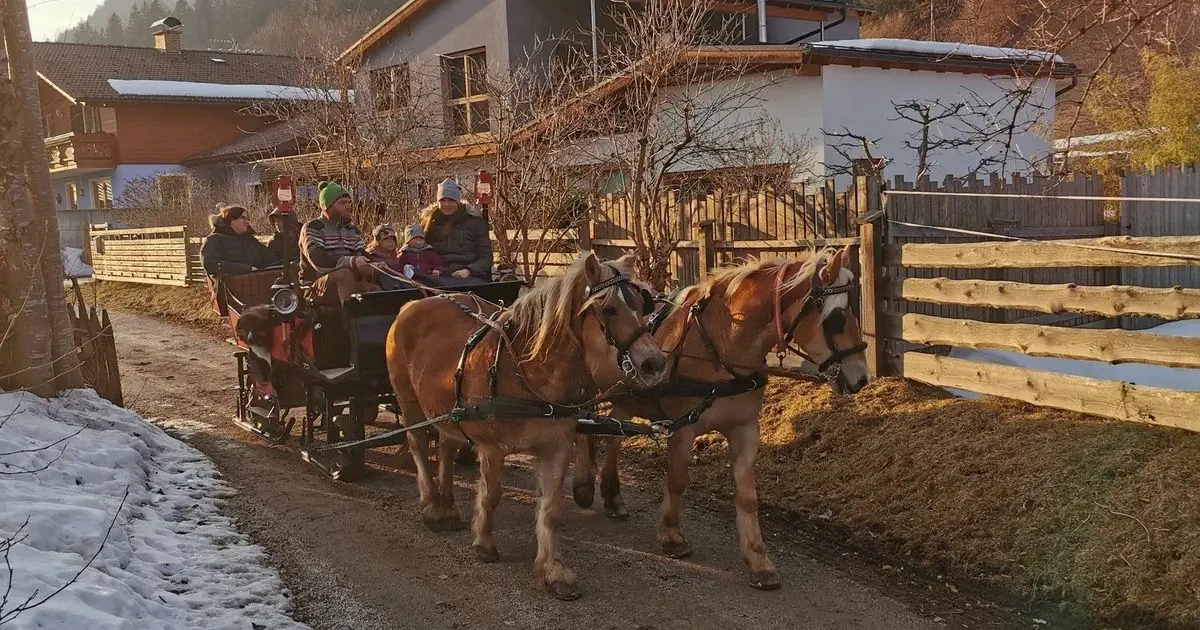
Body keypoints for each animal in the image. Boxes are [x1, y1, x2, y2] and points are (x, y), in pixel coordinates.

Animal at [385, 252, 666, 600]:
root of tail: (413, 304)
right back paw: (431, 505)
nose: (654, 363)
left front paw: (553, 571)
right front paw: (484, 544)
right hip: (409, 401)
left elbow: (551, 509)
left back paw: (447, 506)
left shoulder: (556, 447)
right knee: (419, 445)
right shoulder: (492, 448)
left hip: (449, 411)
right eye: (609, 309)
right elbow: (491, 494)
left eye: (642, 306)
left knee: (448, 447)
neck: (530, 374)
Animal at [573, 247, 870, 590]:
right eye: (837, 319)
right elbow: (677, 479)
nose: (862, 378)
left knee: (613, 433)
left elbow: (748, 495)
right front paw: (672, 535)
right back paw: (583, 485)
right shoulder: (683, 427)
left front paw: (758, 559)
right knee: (580, 428)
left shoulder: (744, 429)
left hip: (626, 393)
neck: (720, 347)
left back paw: (612, 495)